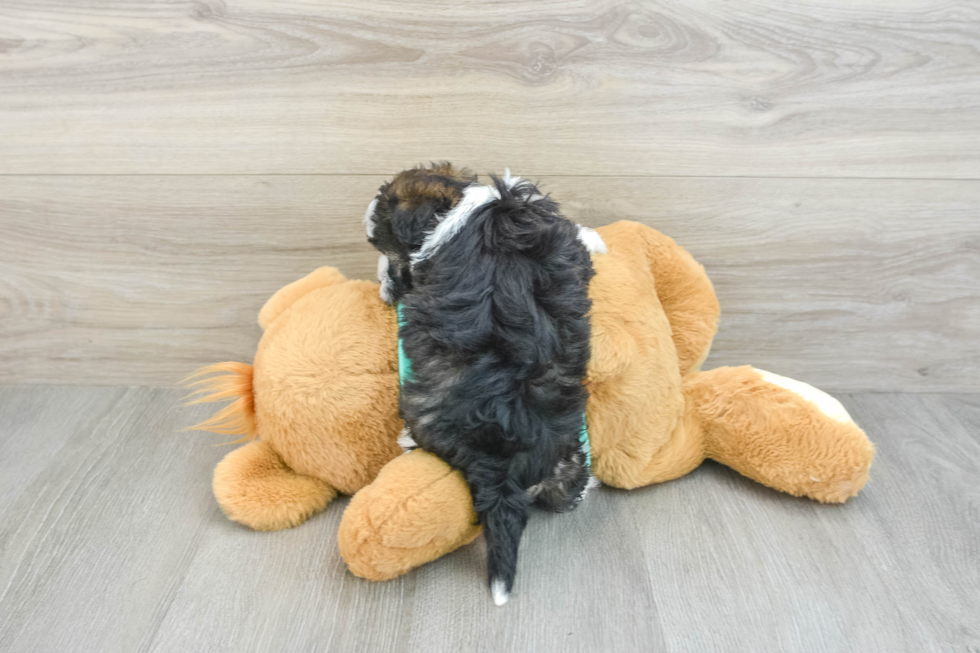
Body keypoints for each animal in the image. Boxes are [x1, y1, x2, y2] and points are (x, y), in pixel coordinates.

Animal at [362, 163, 600, 608]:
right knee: (565, 490)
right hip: (566, 450)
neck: (456, 205)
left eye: (382, 247)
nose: (384, 285)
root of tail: (501, 460)